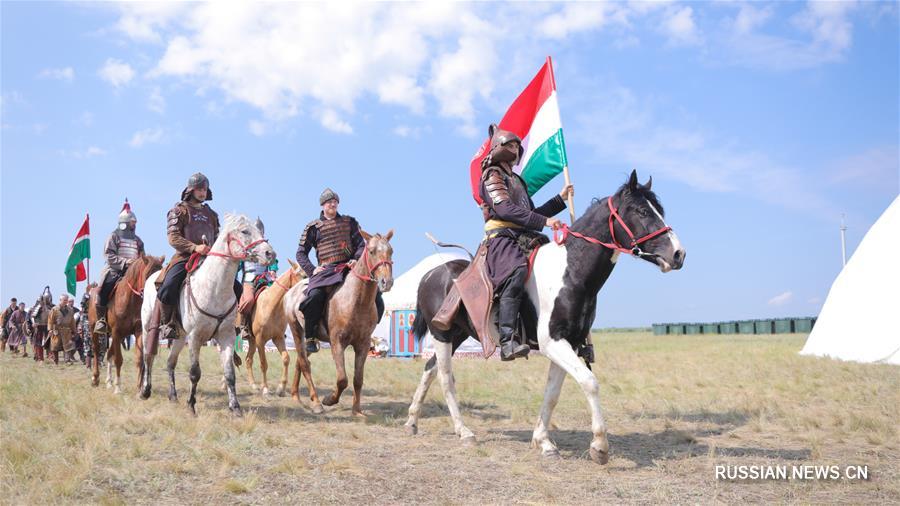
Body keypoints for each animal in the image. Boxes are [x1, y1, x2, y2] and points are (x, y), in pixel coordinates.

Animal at [89, 255, 165, 394]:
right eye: (148, 275)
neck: (130, 299)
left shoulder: (138, 331)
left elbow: (139, 359)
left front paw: (139, 388)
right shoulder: (116, 331)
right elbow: (118, 360)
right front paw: (118, 387)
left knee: (109, 354)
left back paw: (109, 382)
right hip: (94, 330)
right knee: (97, 351)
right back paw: (95, 378)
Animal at [140, 213, 274, 416]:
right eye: (244, 231)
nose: (270, 254)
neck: (215, 288)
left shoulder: (226, 336)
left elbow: (229, 373)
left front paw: (235, 407)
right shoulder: (195, 337)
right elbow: (195, 373)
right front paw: (191, 405)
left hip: (180, 336)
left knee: (170, 363)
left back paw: (173, 396)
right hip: (149, 327)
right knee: (148, 356)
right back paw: (145, 390)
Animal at [246, 260, 306, 396]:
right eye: (304, 276)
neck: (271, 305)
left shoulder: (278, 338)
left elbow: (286, 359)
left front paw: (281, 388)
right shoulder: (260, 340)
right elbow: (263, 364)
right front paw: (265, 389)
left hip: (252, 341)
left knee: (248, 360)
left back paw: (253, 385)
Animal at [284, 231, 390, 418]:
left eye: (390, 251)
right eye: (371, 251)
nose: (387, 282)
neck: (356, 300)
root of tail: (291, 292)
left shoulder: (363, 345)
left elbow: (357, 379)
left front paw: (357, 410)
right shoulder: (337, 342)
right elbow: (342, 379)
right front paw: (329, 400)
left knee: (300, 361)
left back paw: (296, 396)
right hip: (296, 329)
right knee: (304, 364)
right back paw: (316, 403)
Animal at [404, 172, 684, 464]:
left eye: (659, 210)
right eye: (642, 211)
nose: (678, 254)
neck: (571, 272)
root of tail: (430, 274)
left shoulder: (569, 343)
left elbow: (552, 393)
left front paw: (543, 442)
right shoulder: (553, 343)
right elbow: (590, 382)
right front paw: (599, 447)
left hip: (456, 335)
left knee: (430, 369)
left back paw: (412, 422)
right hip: (443, 335)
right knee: (446, 378)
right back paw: (464, 432)